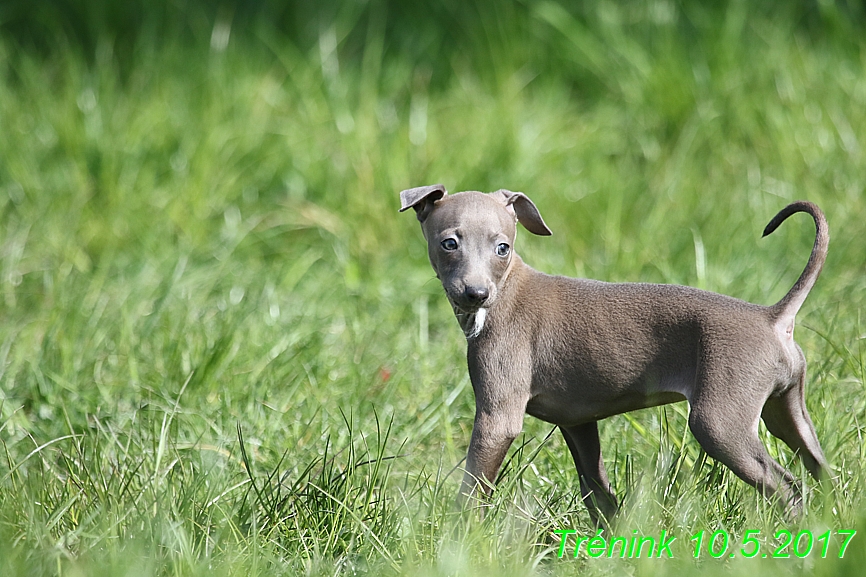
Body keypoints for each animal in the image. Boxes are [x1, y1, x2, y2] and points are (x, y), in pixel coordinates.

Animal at [402, 184, 828, 520]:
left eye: (502, 248)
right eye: (450, 243)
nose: (476, 294)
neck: (505, 290)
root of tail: (772, 317)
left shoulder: (498, 418)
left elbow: (472, 489)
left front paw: (459, 537)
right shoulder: (578, 422)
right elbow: (598, 494)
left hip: (720, 423)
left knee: (787, 487)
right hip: (785, 411)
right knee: (821, 469)